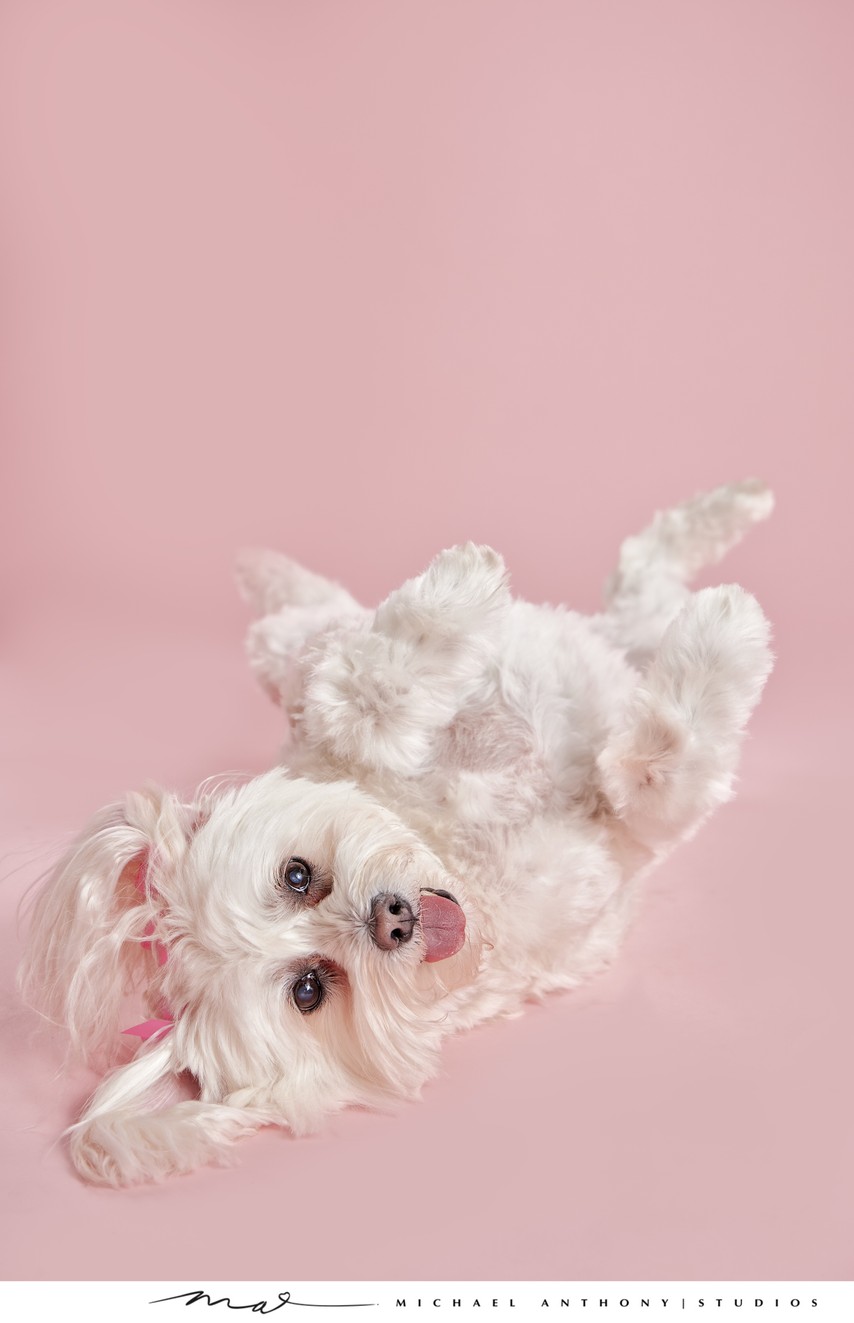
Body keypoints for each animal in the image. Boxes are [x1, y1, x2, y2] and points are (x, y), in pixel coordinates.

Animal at [18, 481, 777, 1185]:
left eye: (296, 876)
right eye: (309, 990)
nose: (394, 919)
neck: (469, 857)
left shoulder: (326, 714)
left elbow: (355, 690)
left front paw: (459, 588)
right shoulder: (633, 827)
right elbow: (658, 761)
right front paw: (724, 639)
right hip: (637, 638)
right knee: (643, 584)